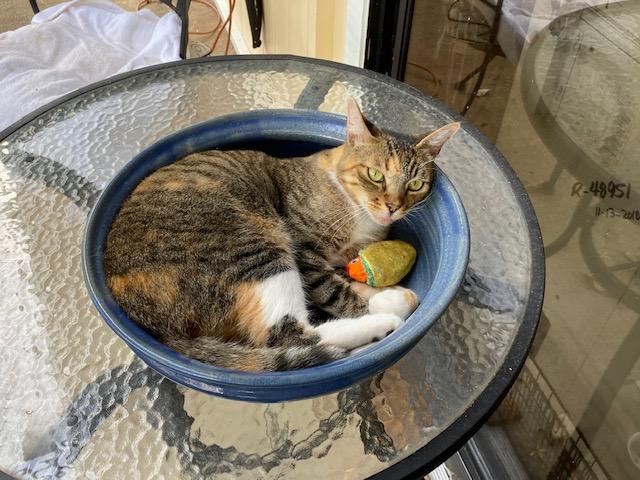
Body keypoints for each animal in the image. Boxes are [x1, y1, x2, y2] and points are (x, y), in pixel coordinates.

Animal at [102, 98, 458, 372]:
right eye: (375, 175)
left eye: (415, 184)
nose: (393, 207)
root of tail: (142, 316)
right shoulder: (305, 253)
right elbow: (335, 291)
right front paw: (384, 303)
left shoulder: (344, 259)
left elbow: (349, 278)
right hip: (255, 246)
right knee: (291, 335)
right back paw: (384, 323)